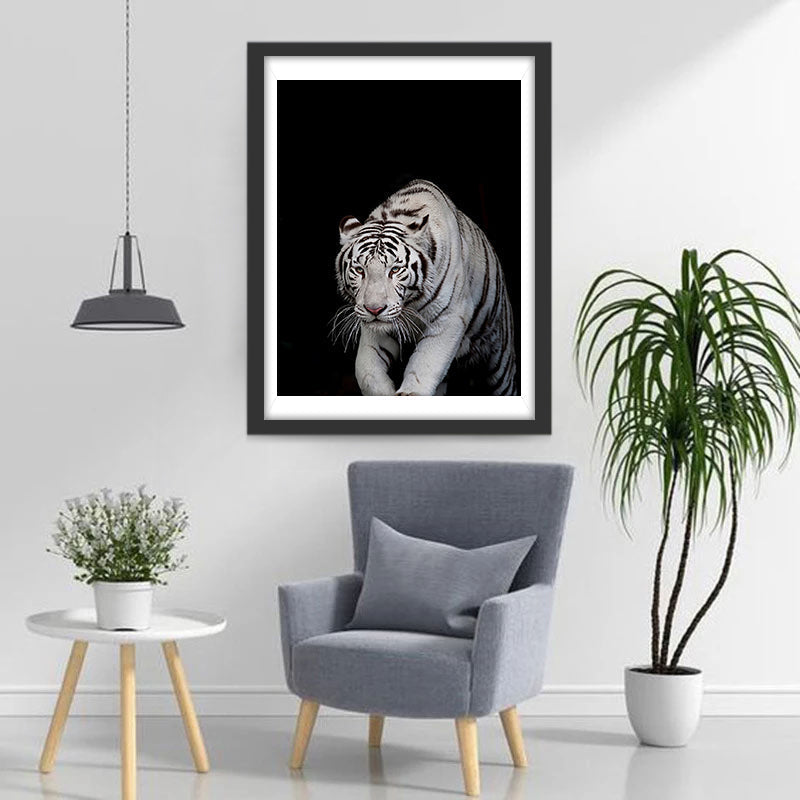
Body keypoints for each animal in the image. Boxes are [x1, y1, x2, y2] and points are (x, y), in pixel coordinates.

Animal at [333, 179, 517, 396]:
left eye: (395, 270)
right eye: (360, 270)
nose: (374, 309)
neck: (410, 302)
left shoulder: (449, 317)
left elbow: (424, 364)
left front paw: (409, 392)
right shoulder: (375, 328)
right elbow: (366, 370)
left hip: (500, 363)